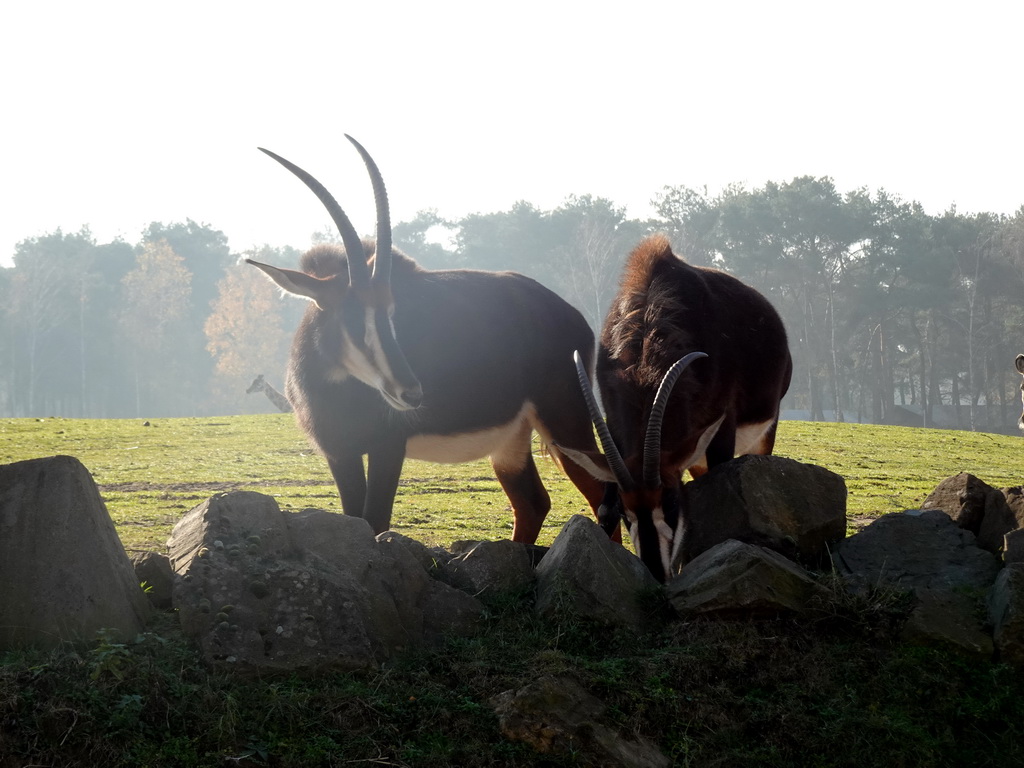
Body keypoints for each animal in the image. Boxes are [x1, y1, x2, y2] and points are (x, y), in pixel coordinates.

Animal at [244, 138, 602, 544]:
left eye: (392, 312)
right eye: (353, 317)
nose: (412, 393)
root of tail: (572, 315)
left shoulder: (387, 447)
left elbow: (375, 520)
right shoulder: (339, 452)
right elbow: (356, 518)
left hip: (566, 419)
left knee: (605, 493)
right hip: (512, 439)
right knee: (532, 502)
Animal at [561, 234, 790, 581]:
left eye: (669, 502)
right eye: (627, 512)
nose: (657, 573)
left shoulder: (720, 429)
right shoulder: (616, 436)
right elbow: (604, 508)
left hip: (764, 430)